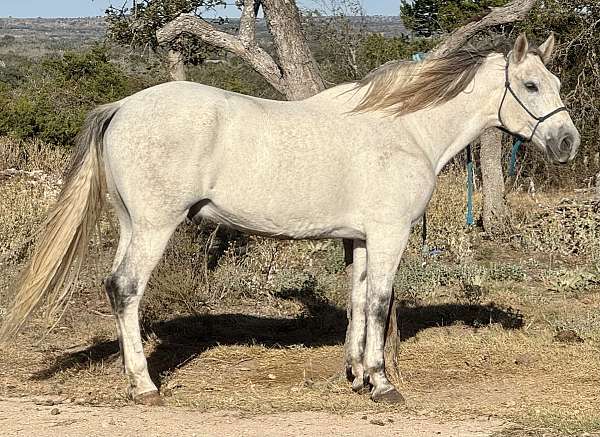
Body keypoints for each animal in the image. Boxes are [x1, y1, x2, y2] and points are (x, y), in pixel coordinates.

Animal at [1, 32, 580, 404]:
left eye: (553, 82)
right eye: (531, 86)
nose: (568, 143)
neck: (405, 129)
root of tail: (122, 106)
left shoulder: (361, 238)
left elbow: (357, 301)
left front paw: (355, 375)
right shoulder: (389, 233)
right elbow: (379, 302)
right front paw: (382, 383)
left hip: (130, 223)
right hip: (153, 226)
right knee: (125, 288)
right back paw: (143, 386)